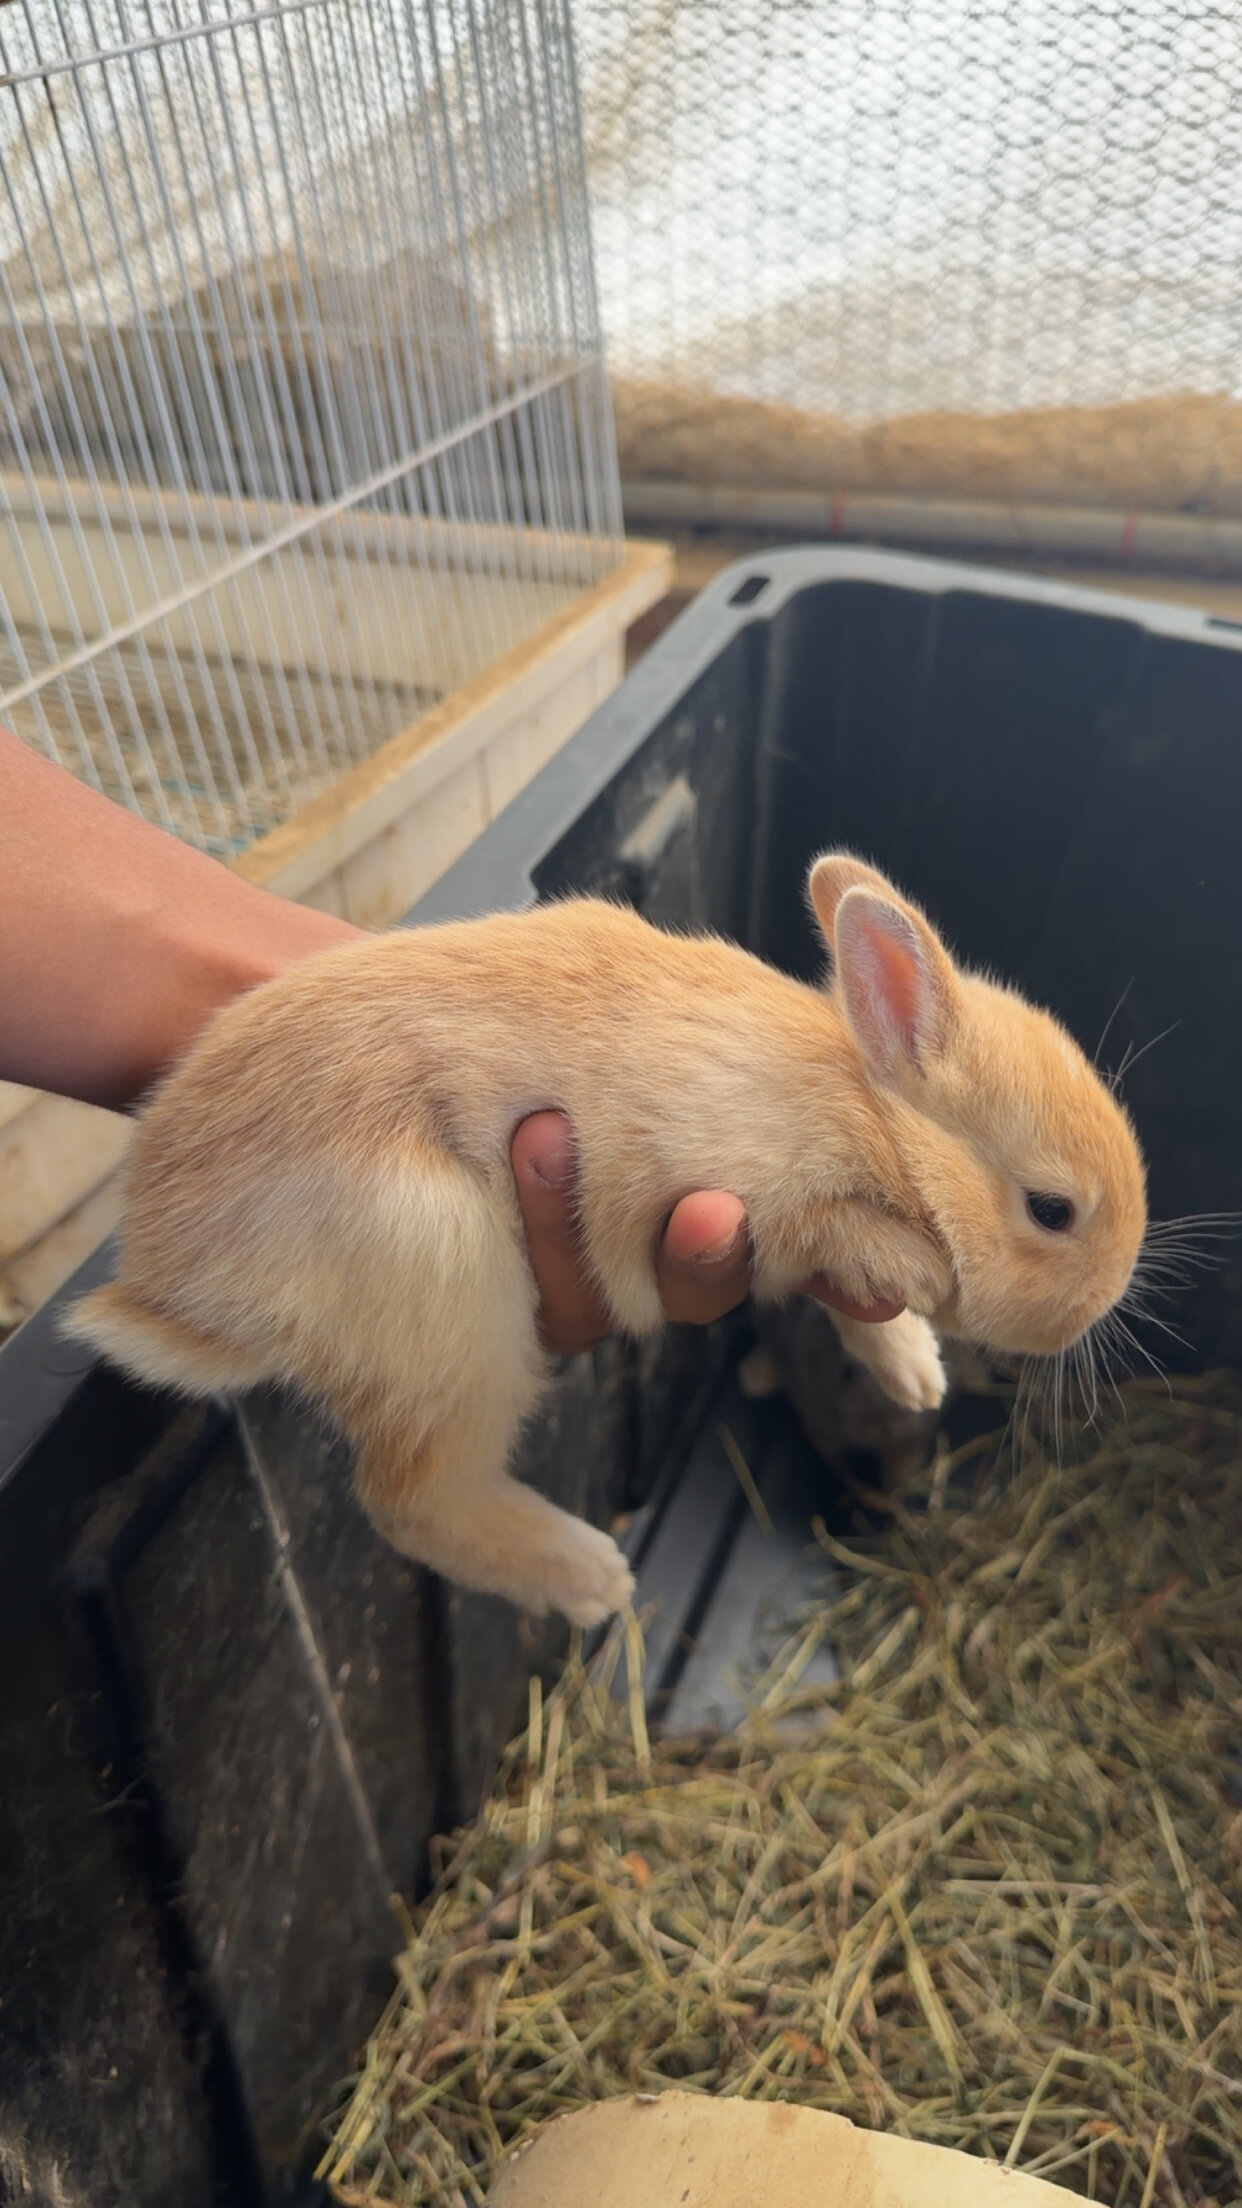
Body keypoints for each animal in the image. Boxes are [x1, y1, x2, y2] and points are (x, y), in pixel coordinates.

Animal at [67, 852, 1147, 1627]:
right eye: (1053, 1209)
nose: (1102, 1303)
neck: (870, 1109)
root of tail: (170, 1288)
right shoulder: (764, 1194)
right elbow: (854, 1244)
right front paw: (921, 1288)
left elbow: (853, 1315)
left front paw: (916, 1373)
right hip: (452, 1308)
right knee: (410, 1498)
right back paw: (594, 1577)